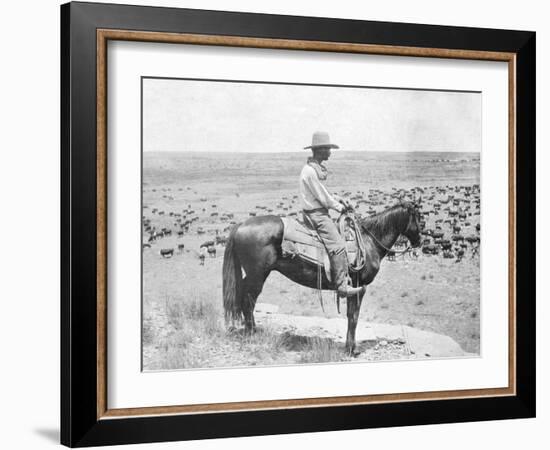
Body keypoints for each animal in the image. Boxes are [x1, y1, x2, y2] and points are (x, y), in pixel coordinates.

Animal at [222, 201, 424, 356]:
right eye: (418, 217)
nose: (419, 241)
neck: (368, 241)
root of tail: (240, 225)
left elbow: (351, 316)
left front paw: (350, 347)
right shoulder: (358, 287)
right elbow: (354, 316)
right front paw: (352, 349)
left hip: (252, 275)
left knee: (243, 298)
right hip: (258, 275)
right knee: (248, 300)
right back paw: (252, 334)